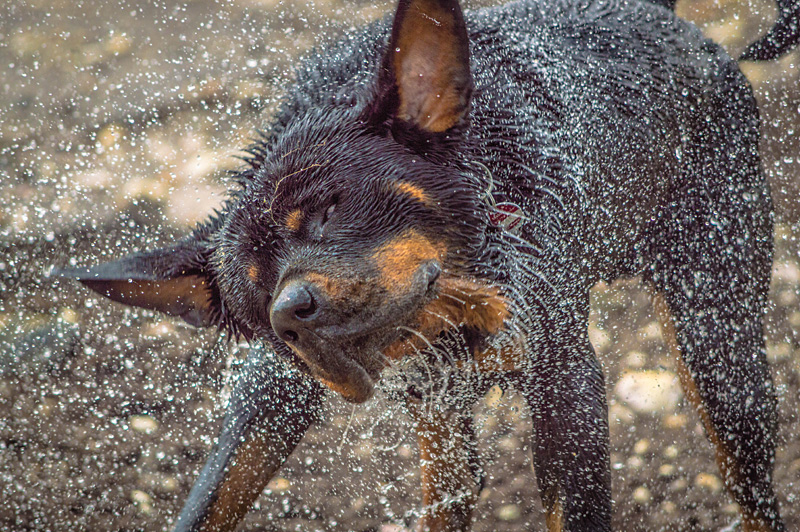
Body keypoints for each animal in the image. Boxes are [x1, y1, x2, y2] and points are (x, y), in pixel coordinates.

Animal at [56, 0, 800, 528]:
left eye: (324, 210)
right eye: (255, 300)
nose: (292, 313)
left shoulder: (565, 387)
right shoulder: (278, 390)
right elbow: (214, 493)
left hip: (718, 342)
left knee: (753, 487)